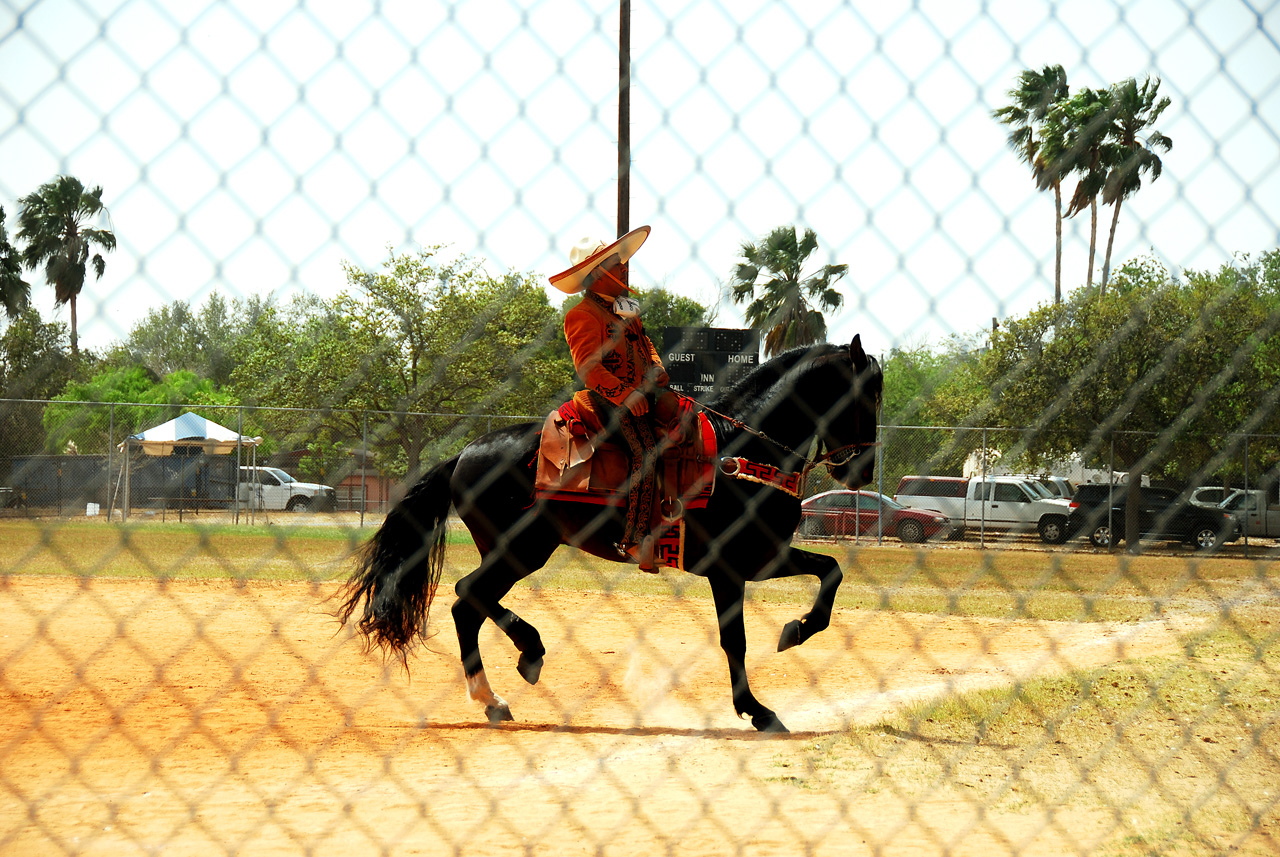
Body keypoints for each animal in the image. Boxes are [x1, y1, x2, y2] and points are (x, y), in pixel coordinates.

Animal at [335, 335, 885, 731]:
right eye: (866, 396)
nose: (860, 471)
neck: (741, 451)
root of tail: (465, 453)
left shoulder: (763, 557)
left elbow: (831, 571)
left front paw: (797, 630)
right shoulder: (730, 568)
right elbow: (737, 640)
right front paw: (758, 709)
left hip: (521, 550)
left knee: (468, 602)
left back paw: (505, 684)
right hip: (521, 550)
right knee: (467, 597)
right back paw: (515, 666)